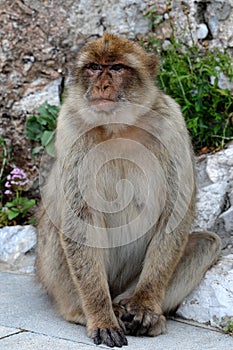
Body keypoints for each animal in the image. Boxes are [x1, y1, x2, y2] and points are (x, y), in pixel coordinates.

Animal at [35, 33, 221, 348]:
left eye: (117, 68)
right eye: (94, 67)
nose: (101, 85)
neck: (118, 127)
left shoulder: (171, 123)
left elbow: (175, 213)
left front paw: (144, 306)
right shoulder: (70, 125)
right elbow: (79, 218)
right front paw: (100, 316)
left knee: (207, 242)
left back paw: (131, 308)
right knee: (59, 225)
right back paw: (85, 310)